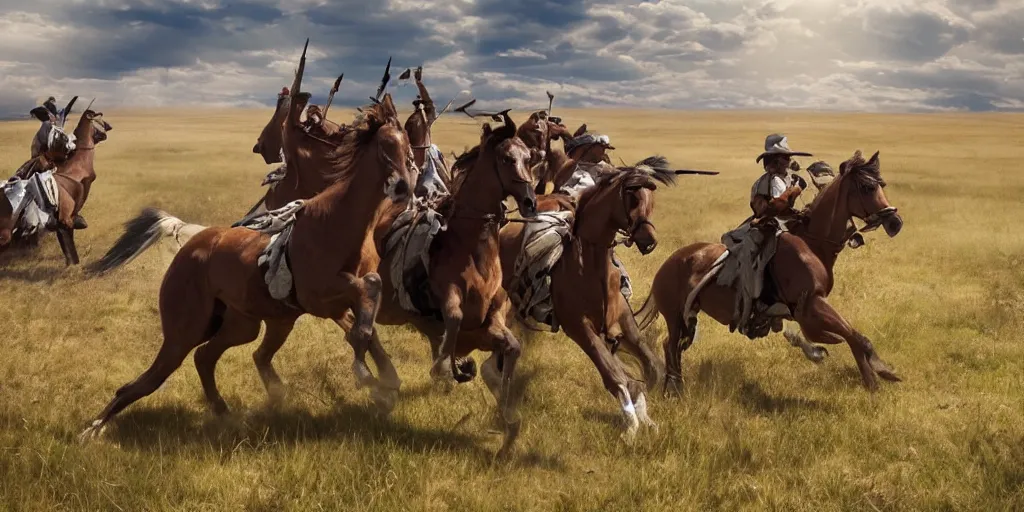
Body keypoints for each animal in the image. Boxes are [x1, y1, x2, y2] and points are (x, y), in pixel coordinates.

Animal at [78, 92, 415, 440]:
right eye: (385, 145)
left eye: (407, 145)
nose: (403, 187)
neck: (338, 222)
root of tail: (192, 242)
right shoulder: (321, 297)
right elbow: (368, 294)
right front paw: (370, 378)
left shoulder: (338, 303)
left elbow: (367, 320)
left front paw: (384, 383)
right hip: (185, 330)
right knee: (149, 378)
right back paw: (94, 429)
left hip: (247, 325)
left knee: (209, 356)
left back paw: (230, 413)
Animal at [499, 157, 675, 442]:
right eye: (633, 197)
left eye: (651, 199)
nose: (649, 241)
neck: (590, 267)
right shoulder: (579, 328)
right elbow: (615, 376)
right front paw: (631, 427)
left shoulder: (623, 323)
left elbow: (649, 370)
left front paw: (646, 418)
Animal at [634, 149, 909, 393]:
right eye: (867, 187)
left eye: (881, 184)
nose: (895, 222)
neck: (813, 243)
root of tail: (667, 264)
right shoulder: (811, 305)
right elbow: (853, 336)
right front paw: (877, 377)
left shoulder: (806, 310)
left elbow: (849, 336)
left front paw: (876, 372)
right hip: (675, 317)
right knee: (671, 346)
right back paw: (674, 389)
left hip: (687, 316)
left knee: (675, 346)